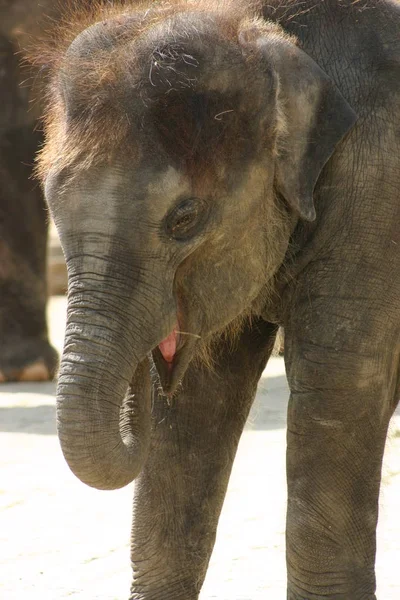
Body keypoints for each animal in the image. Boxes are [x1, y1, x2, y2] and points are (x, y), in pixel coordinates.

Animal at [36, 1, 398, 600]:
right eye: (51, 205)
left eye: (184, 219)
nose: (140, 382)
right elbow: (196, 408)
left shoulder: (377, 195)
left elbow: (340, 389)